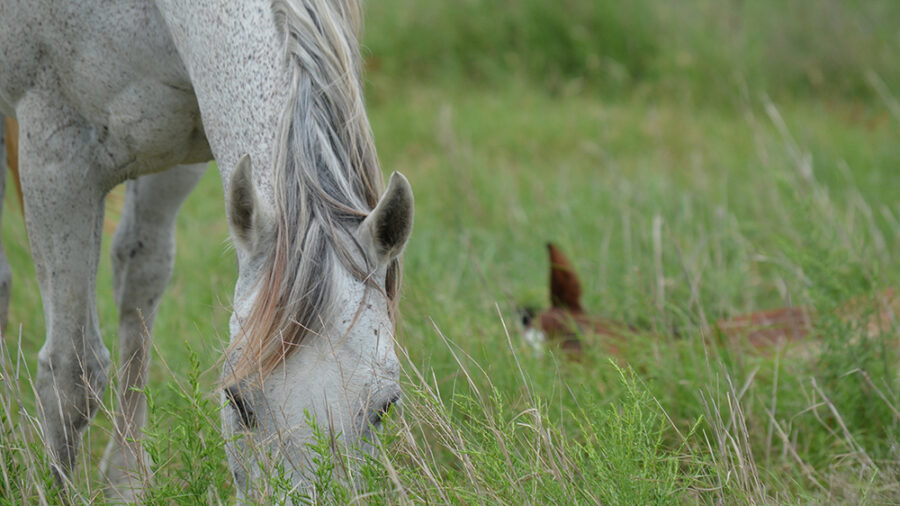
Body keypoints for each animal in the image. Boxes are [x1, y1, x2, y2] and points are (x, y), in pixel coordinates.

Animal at [0, 0, 413, 500]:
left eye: (386, 407)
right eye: (236, 400)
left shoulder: (178, 159)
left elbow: (140, 277)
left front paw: (126, 482)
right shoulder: (56, 158)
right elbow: (72, 373)